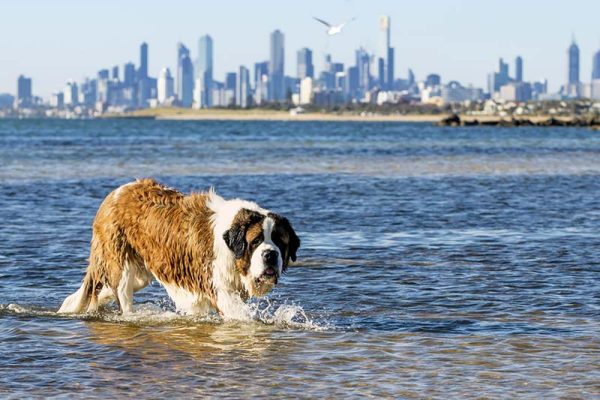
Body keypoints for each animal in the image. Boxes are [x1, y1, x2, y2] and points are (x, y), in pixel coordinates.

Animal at [57, 178, 298, 318]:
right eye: (256, 241)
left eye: (280, 241)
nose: (270, 255)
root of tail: (115, 193)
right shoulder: (220, 290)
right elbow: (241, 316)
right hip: (121, 263)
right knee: (122, 296)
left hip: (140, 273)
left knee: (106, 288)